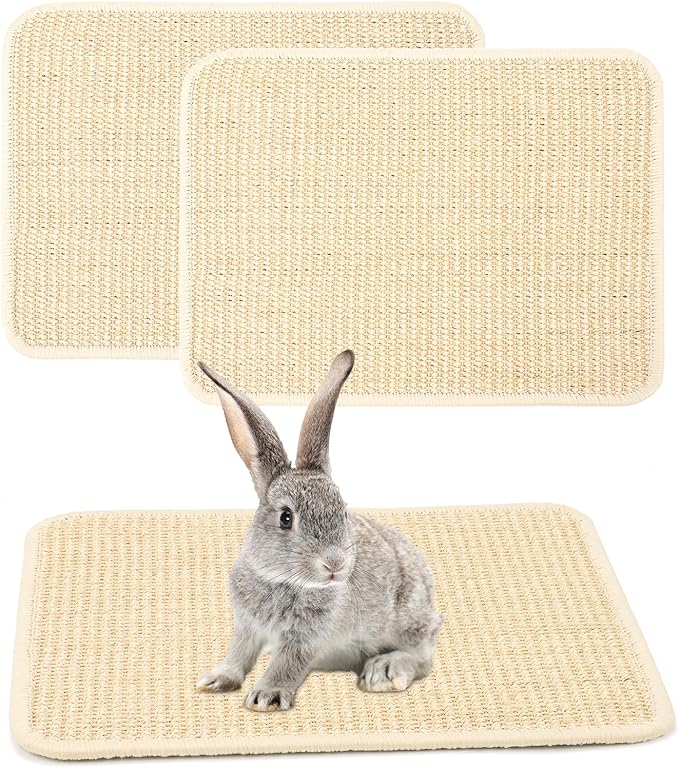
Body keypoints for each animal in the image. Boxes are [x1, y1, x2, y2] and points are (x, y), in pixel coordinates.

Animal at [196, 350, 443, 711]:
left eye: (343, 511)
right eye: (286, 518)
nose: (335, 563)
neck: (282, 580)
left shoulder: (305, 637)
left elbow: (287, 664)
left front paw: (266, 696)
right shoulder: (247, 627)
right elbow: (239, 654)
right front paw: (216, 680)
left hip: (408, 618)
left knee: (422, 657)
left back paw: (384, 671)